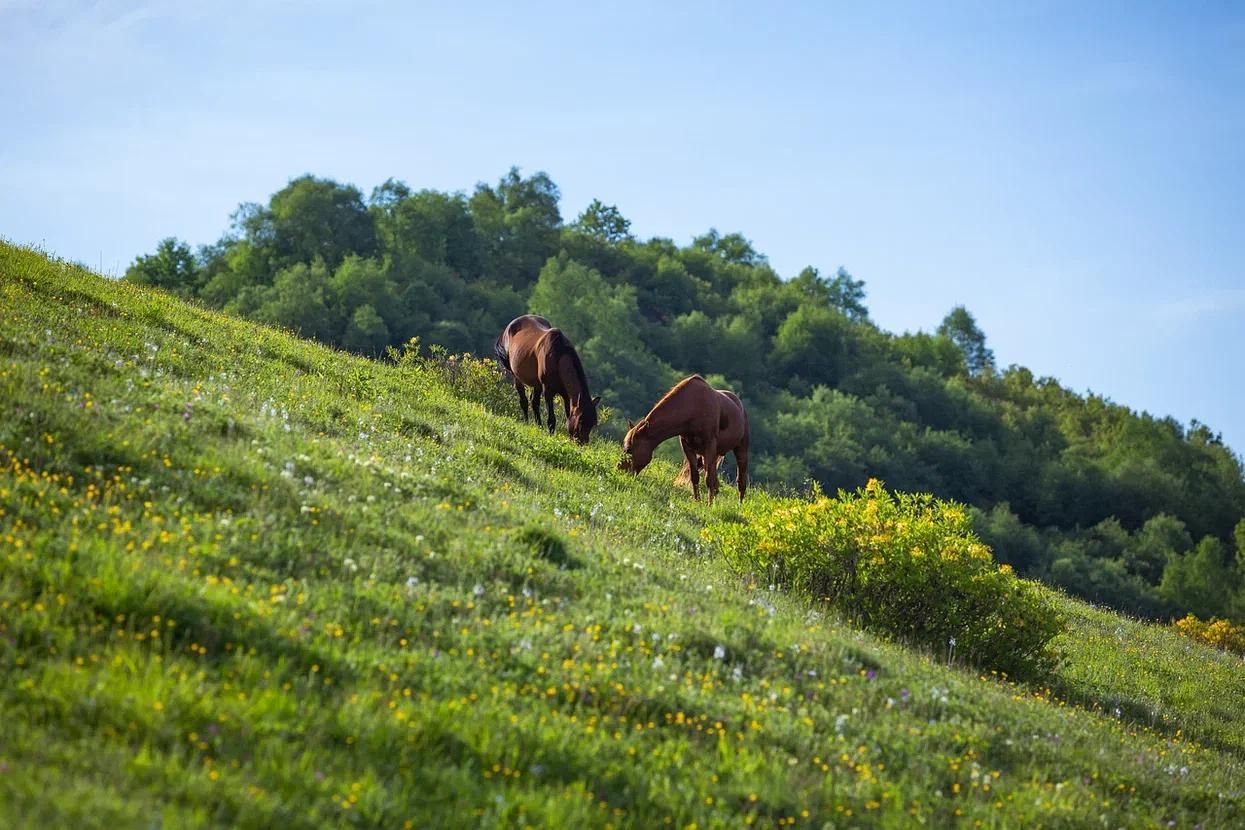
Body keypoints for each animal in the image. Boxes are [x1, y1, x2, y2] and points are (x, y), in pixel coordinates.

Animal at [493, 314, 600, 445]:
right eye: (580, 421)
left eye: (593, 424)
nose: (581, 443)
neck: (558, 357)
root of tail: (508, 329)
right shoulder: (548, 390)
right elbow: (551, 419)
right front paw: (551, 435)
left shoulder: (565, 394)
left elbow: (568, 416)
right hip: (516, 376)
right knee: (524, 401)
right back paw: (526, 422)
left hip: (536, 384)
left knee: (534, 402)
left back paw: (538, 426)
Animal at [615, 378, 747, 507]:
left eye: (629, 449)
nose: (619, 469)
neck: (694, 408)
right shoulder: (688, 447)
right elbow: (695, 477)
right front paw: (697, 502)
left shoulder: (709, 446)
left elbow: (708, 479)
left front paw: (709, 506)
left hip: (740, 448)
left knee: (740, 481)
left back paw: (739, 506)